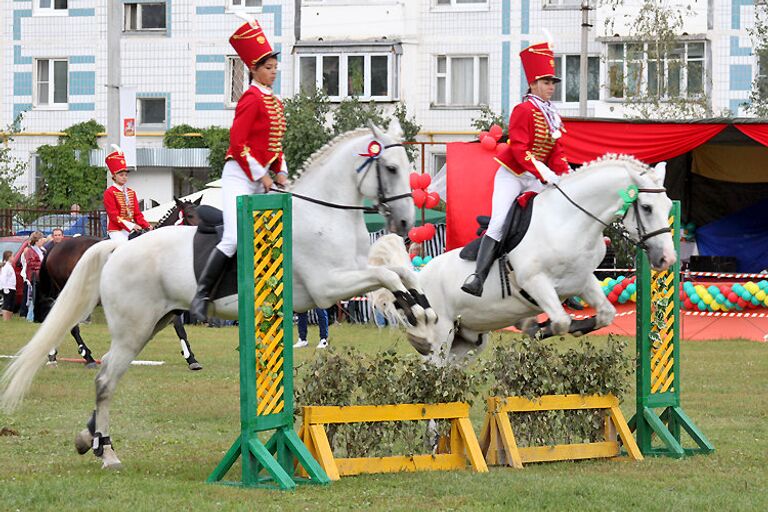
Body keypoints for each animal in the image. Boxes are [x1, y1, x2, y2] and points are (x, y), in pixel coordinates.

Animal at [35, 198, 204, 370]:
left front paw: (191, 359)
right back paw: (87, 357)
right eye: (190, 215)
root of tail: (57, 246)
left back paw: (53, 354)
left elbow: (179, 327)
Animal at [372, 155, 680, 360]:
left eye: (668, 206)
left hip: (468, 341)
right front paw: (537, 328)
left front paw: (553, 326)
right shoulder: (535, 282)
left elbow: (605, 314)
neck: (570, 221)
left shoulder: (583, 281)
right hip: (440, 336)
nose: (666, 259)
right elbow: (560, 321)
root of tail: (418, 278)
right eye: (647, 207)